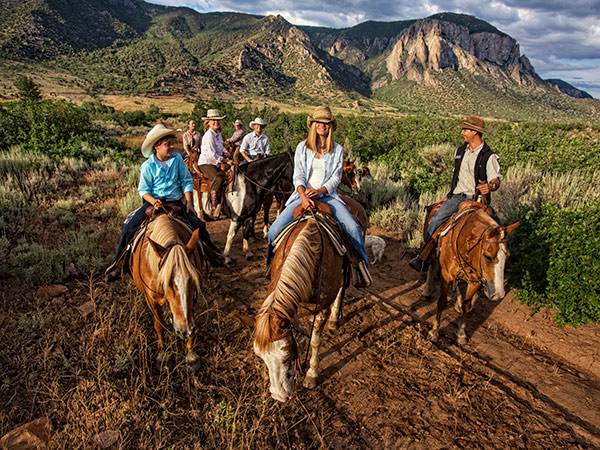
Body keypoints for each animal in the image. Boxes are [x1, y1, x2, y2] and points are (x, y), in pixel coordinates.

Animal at [129, 214, 204, 370]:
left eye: (193, 281)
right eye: (164, 283)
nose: (184, 330)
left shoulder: (192, 298)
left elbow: (191, 319)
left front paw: (191, 355)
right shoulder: (151, 300)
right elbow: (159, 325)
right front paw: (162, 356)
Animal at [236, 213, 350, 402]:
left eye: (287, 355)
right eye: (260, 356)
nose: (278, 396)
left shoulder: (322, 309)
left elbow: (315, 341)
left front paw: (311, 375)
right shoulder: (291, 310)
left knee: (341, 288)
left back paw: (335, 319)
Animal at [420, 206, 516, 346]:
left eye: (507, 255)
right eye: (488, 256)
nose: (499, 294)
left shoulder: (475, 280)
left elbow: (467, 306)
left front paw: (461, 334)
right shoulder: (446, 274)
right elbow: (442, 302)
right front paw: (434, 332)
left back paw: (458, 302)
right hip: (433, 254)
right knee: (432, 268)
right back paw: (426, 293)